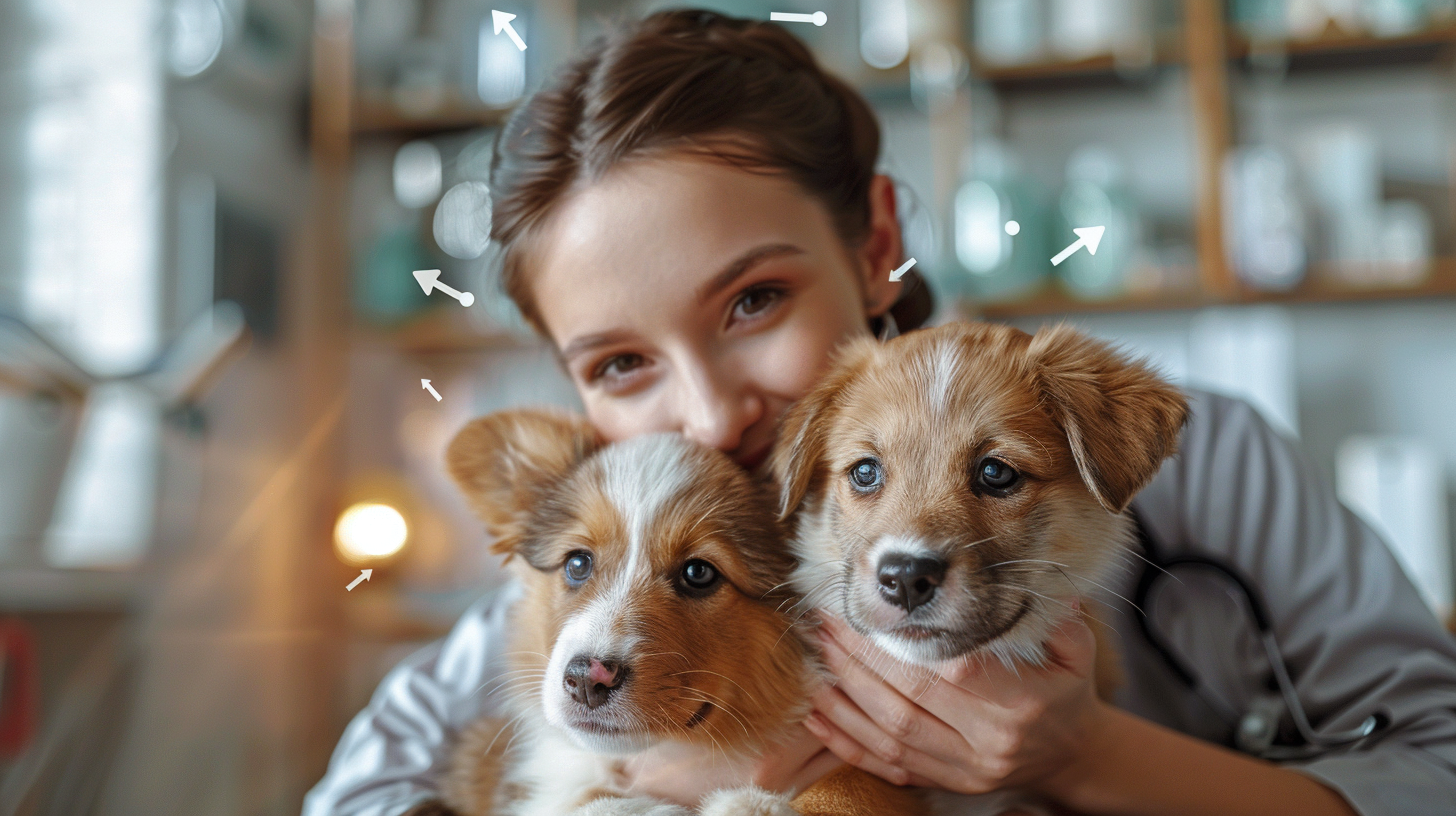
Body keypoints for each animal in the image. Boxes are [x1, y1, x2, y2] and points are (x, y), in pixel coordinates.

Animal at [410, 410, 926, 816]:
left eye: (698, 573)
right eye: (577, 563)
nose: (587, 679)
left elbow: (852, 788)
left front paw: (751, 806)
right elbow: (589, 802)